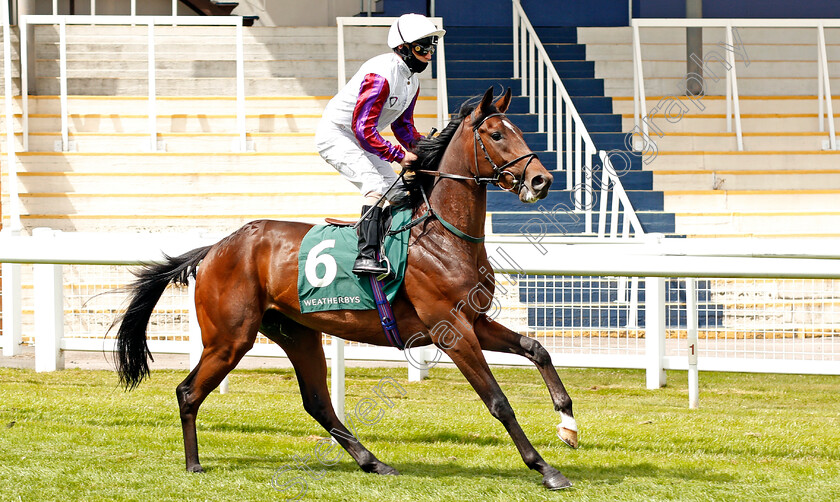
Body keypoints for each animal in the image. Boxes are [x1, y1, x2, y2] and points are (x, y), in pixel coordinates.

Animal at [113, 87, 576, 490]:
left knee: (318, 402)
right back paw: (193, 464)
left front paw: (567, 423)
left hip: (295, 332)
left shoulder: (474, 321)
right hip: (230, 338)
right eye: (496, 134)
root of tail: (215, 248)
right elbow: (498, 400)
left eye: (519, 130)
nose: (542, 180)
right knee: (188, 391)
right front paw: (546, 469)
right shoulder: (452, 329)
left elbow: (536, 348)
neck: (442, 236)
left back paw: (373, 461)